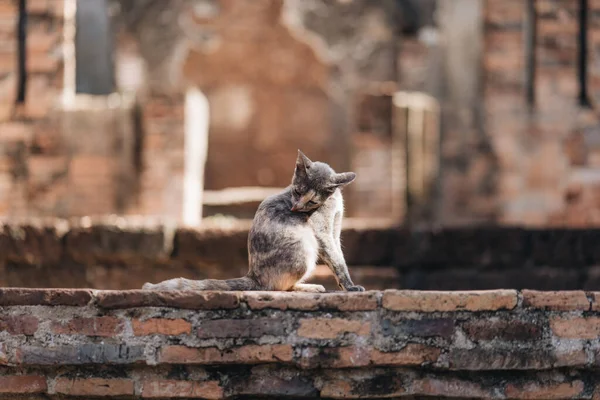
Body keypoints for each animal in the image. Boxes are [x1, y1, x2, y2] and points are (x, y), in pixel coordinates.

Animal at [143, 149, 364, 290]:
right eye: (297, 191)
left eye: (311, 201)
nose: (295, 208)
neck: (333, 201)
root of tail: (253, 276)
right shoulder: (322, 232)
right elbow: (337, 261)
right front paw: (350, 286)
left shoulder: (334, 231)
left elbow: (339, 256)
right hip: (305, 249)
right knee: (276, 287)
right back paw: (310, 287)